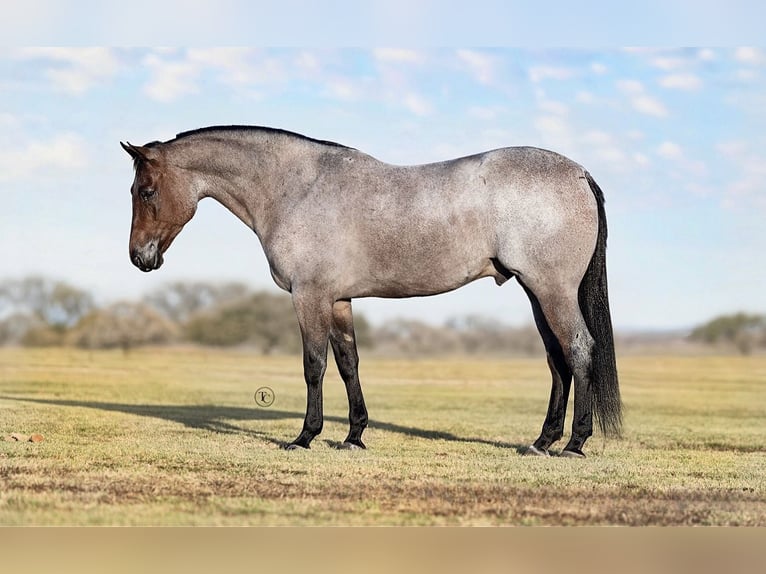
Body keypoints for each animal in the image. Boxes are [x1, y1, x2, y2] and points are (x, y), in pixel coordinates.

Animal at [121, 125, 621, 458]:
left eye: (145, 191)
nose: (139, 257)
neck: (297, 188)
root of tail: (578, 173)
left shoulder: (309, 296)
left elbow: (314, 366)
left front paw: (305, 436)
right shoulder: (338, 300)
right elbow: (348, 364)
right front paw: (353, 436)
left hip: (552, 290)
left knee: (579, 349)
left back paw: (573, 443)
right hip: (537, 294)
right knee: (557, 360)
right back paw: (541, 441)